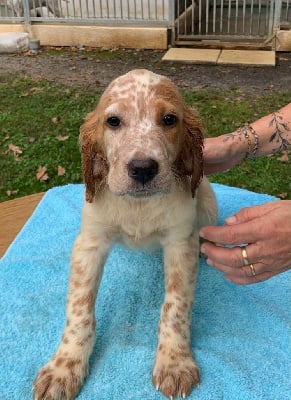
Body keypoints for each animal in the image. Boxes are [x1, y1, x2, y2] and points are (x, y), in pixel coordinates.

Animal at [33, 69, 217, 400]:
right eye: (113, 121)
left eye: (169, 119)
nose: (143, 168)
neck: (138, 206)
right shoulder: (90, 244)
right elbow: (79, 309)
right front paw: (63, 368)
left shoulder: (179, 243)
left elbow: (176, 307)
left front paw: (174, 362)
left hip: (208, 203)